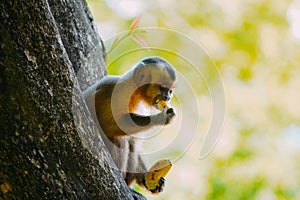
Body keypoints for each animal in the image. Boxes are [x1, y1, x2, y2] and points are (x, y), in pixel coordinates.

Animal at [83, 56, 176, 195]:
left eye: (170, 91)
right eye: (162, 88)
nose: (168, 97)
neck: (137, 91)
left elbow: (134, 139)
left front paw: (147, 179)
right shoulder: (122, 91)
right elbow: (107, 124)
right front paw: (161, 118)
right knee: (120, 139)